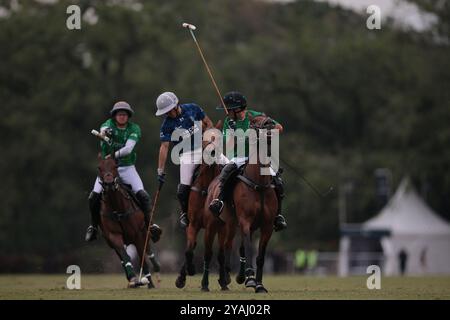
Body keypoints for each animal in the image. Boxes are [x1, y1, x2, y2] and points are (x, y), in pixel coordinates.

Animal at [97, 154, 156, 288]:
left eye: (115, 166)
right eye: (99, 168)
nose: (109, 184)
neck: (118, 208)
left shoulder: (138, 234)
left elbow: (142, 257)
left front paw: (148, 281)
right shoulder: (113, 235)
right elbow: (125, 256)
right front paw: (133, 278)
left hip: (144, 233)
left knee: (145, 252)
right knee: (123, 257)